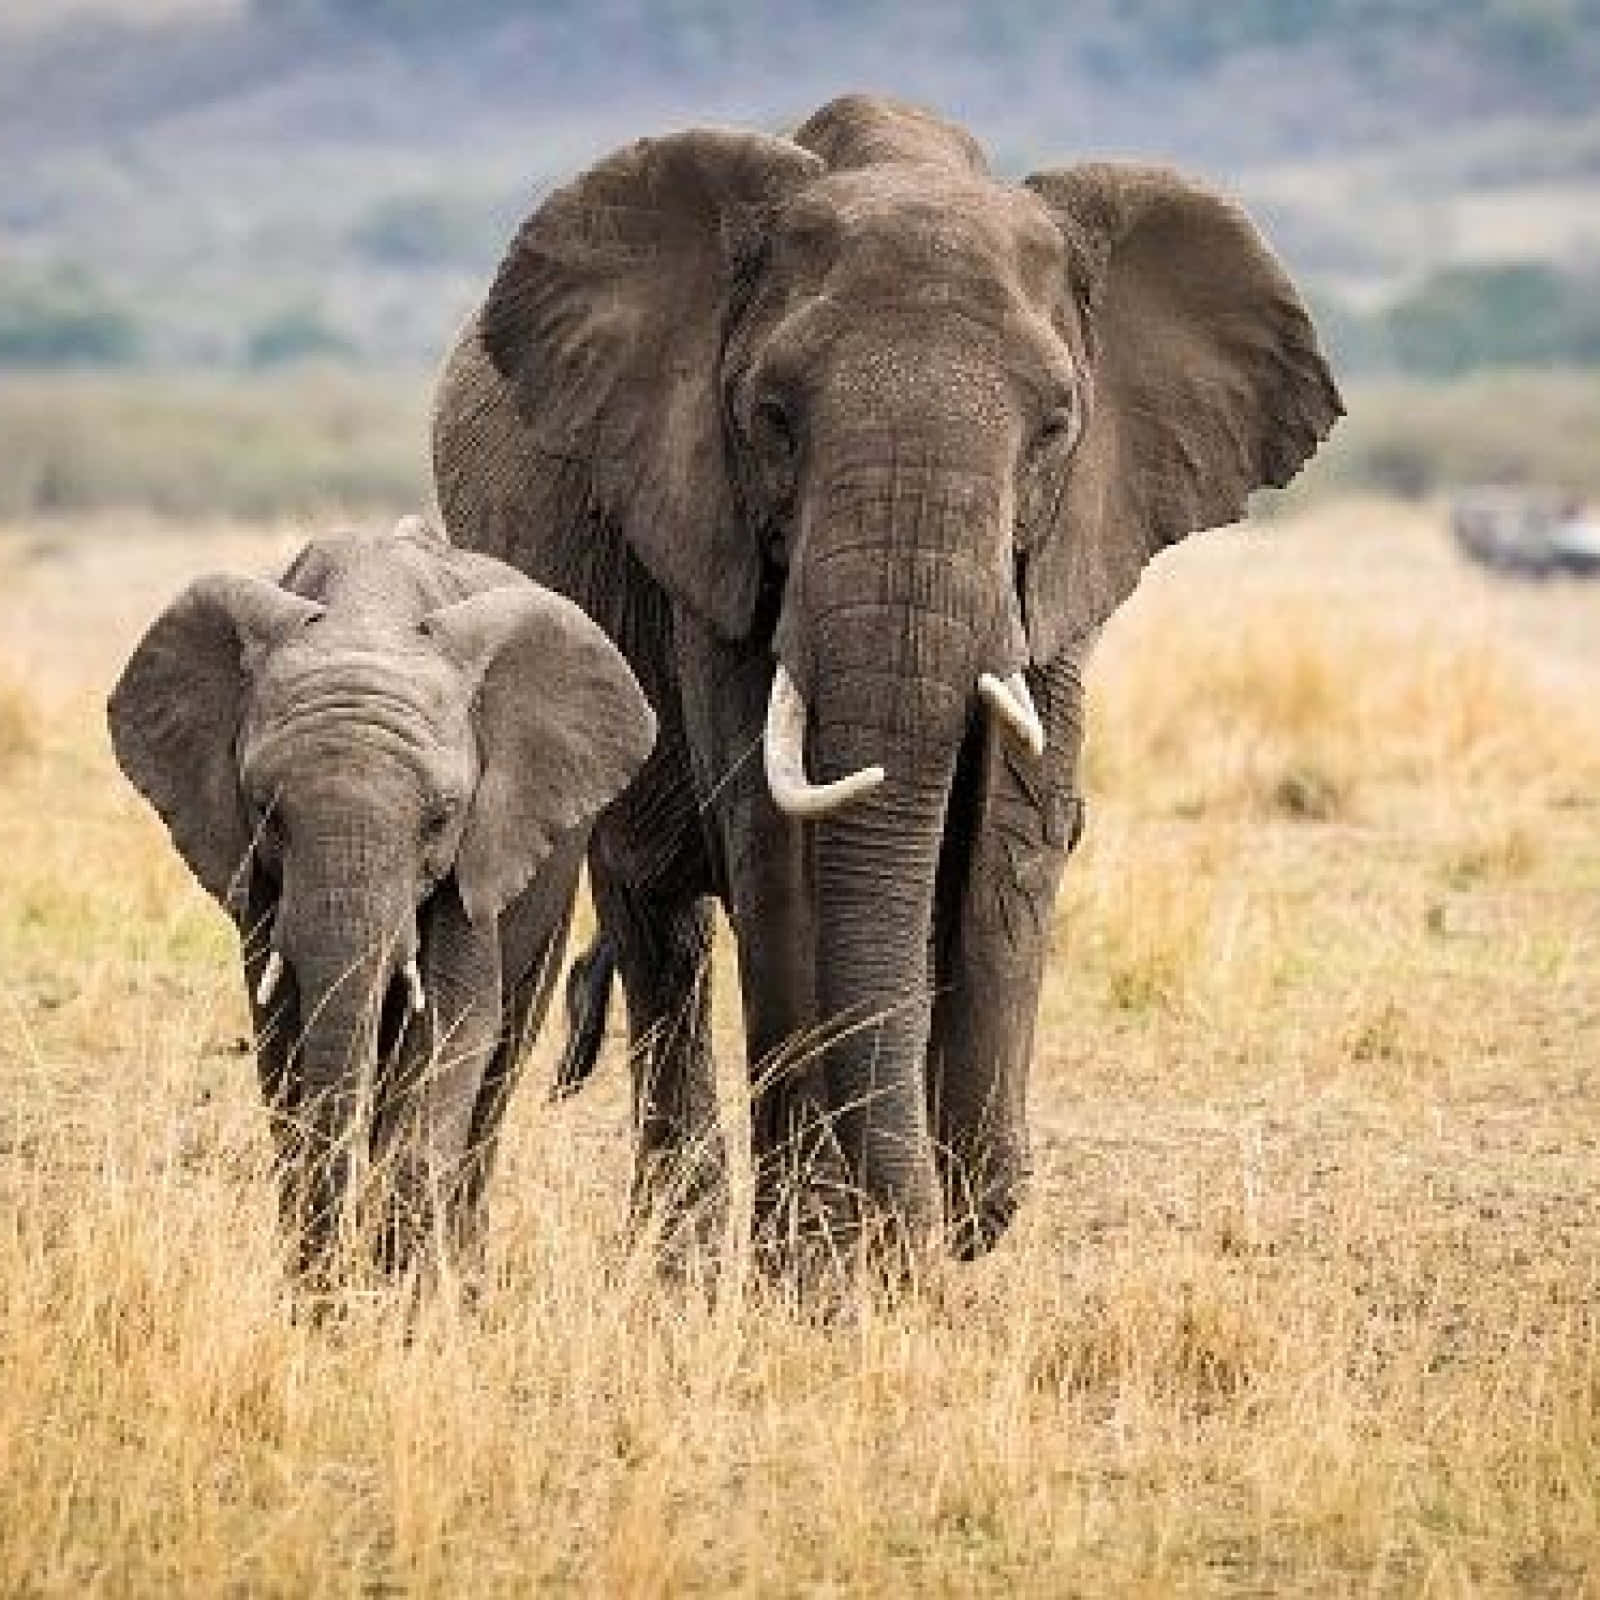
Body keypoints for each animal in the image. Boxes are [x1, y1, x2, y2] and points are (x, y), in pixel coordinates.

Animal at [107, 514, 656, 1286]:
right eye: (266, 811)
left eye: (441, 818)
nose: (336, 1286)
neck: (370, 613)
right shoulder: (261, 884)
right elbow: (283, 1032)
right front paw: (325, 1294)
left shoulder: (480, 848)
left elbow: (456, 1022)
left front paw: (400, 1294)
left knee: (499, 1072)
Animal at [431, 93, 1342, 1268]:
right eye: (772, 416)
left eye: (1056, 428)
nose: (921, 1232)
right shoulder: (708, 536)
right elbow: (774, 835)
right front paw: (815, 1264)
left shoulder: (1068, 554)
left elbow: (1013, 829)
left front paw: (954, 1218)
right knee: (658, 922)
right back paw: (687, 1262)